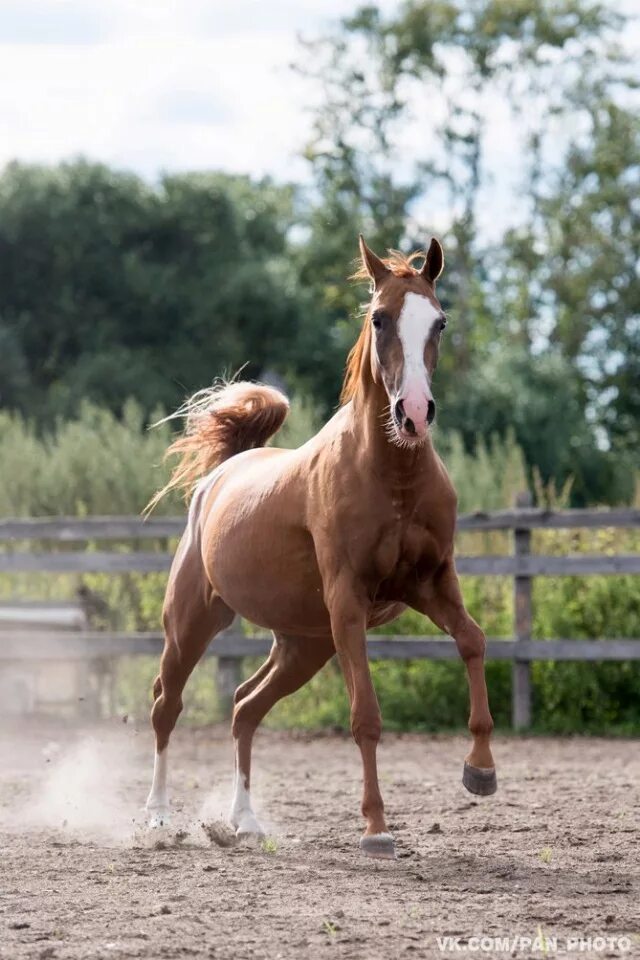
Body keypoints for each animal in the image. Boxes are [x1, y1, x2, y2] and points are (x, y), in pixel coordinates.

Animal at [145, 236, 496, 860]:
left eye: (440, 321)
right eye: (379, 318)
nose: (414, 413)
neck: (392, 477)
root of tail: (220, 476)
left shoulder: (431, 583)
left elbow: (473, 642)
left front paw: (480, 770)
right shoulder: (349, 602)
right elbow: (366, 716)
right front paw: (377, 828)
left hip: (303, 645)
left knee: (244, 707)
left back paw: (244, 822)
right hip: (193, 621)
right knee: (167, 704)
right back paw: (159, 819)